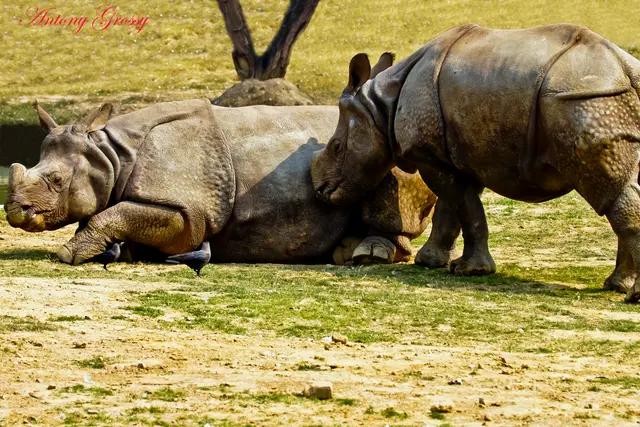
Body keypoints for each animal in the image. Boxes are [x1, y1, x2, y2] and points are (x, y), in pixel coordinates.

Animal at [4, 93, 434, 265]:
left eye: (56, 180)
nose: (13, 211)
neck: (111, 155)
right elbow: (112, 214)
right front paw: (119, 252)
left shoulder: (187, 209)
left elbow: (113, 214)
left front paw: (68, 255)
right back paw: (345, 252)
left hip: (380, 143)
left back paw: (365, 255)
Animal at [311, 24, 640, 302]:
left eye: (337, 146)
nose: (318, 188)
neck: (380, 108)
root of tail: (624, 66)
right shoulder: (455, 155)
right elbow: (452, 209)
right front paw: (429, 262)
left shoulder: (431, 156)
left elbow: (465, 208)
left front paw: (469, 270)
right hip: (600, 99)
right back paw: (617, 286)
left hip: (584, 100)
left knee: (609, 190)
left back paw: (626, 293)